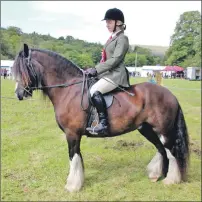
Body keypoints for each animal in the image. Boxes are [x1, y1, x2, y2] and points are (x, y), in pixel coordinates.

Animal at [12, 44, 189, 193]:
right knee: (161, 149)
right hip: (147, 129)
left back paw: (171, 180)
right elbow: (78, 158)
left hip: (163, 130)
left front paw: (72, 186)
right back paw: (157, 175)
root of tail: (170, 95)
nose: (19, 94)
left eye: (23, 69)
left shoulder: (71, 134)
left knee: (171, 152)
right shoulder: (74, 135)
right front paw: (78, 182)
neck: (69, 90)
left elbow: (73, 157)